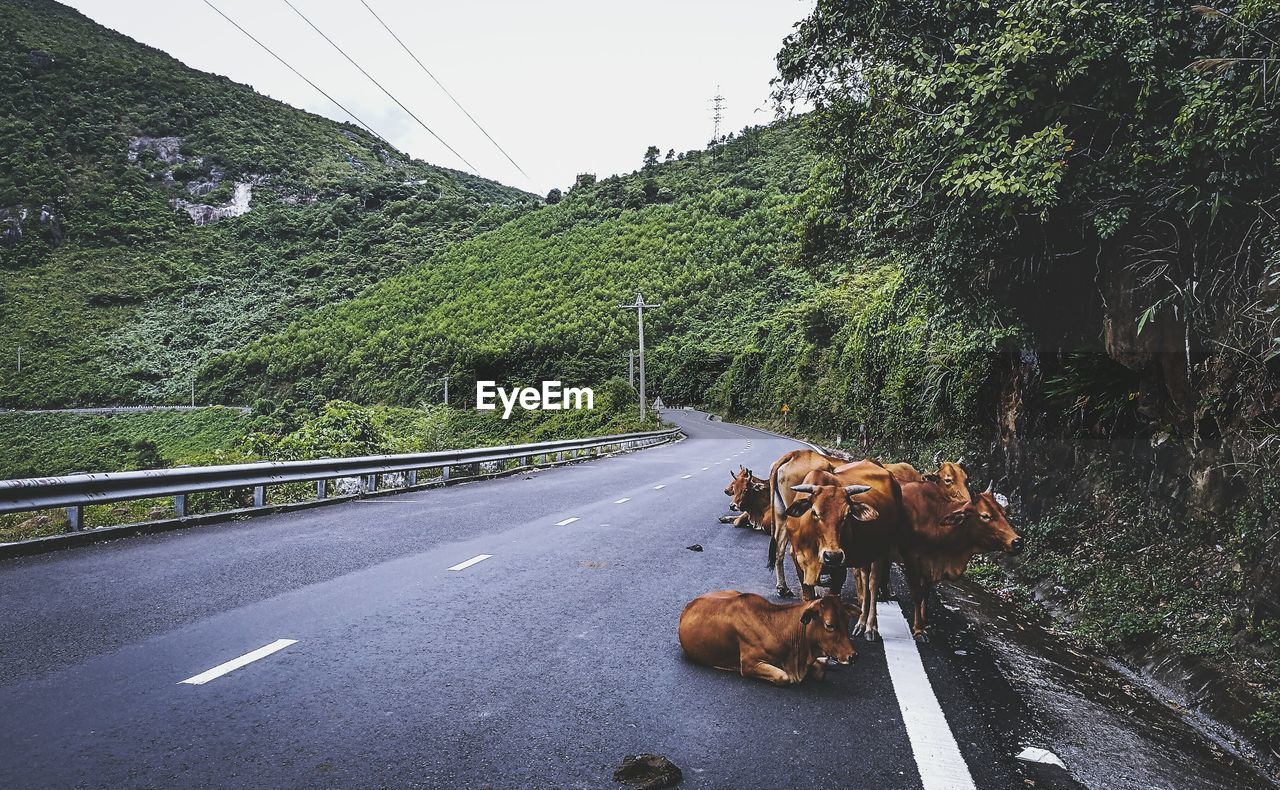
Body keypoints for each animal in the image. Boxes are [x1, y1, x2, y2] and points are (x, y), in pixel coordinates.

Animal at [675, 586, 855, 686]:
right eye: (829, 625)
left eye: (847, 621)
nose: (853, 656)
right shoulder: (749, 663)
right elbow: (783, 677)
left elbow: (821, 671)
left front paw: (825, 662)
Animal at [901, 481, 1018, 640]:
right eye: (985, 516)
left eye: (1004, 514)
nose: (1017, 542)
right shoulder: (911, 558)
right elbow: (917, 594)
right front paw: (919, 630)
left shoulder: (930, 566)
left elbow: (926, 593)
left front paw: (925, 623)